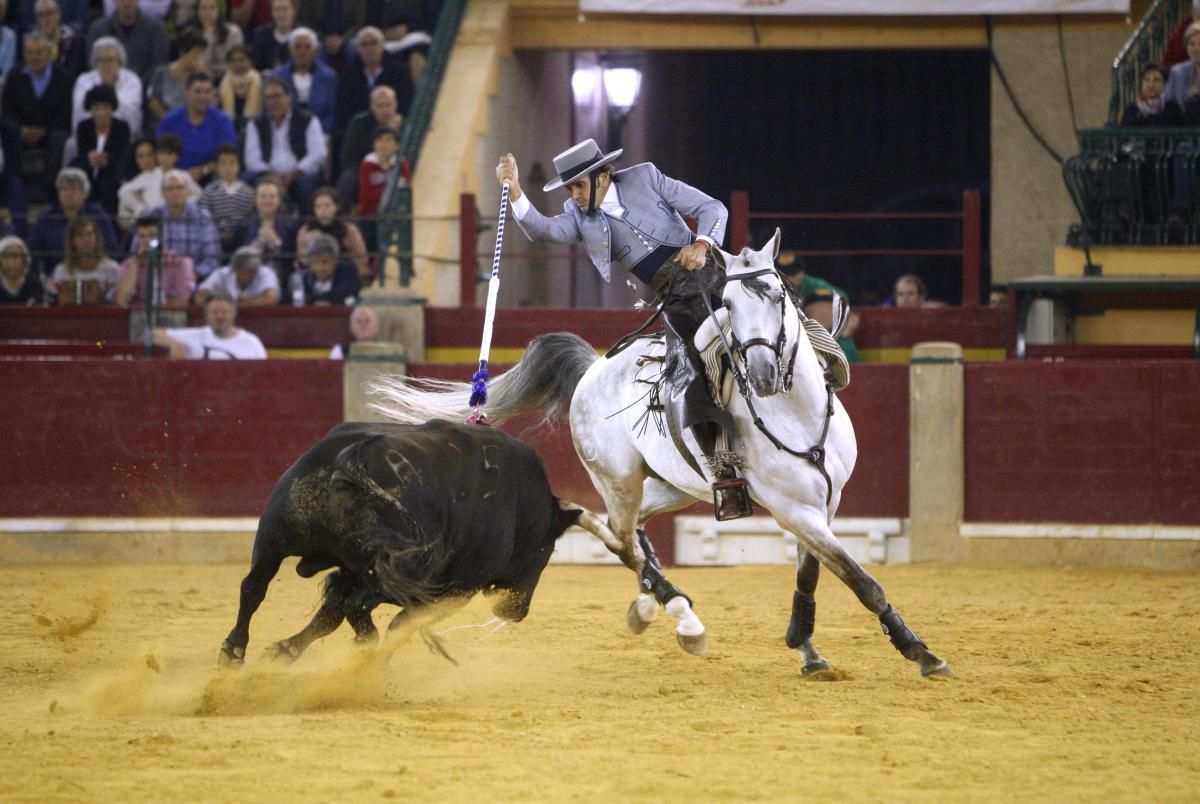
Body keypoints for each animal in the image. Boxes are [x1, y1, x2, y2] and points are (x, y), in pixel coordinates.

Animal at [224, 420, 585, 662]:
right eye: (546, 551)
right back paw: (366, 649)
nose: (517, 611)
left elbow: (330, 613)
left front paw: (284, 650)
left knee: (253, 586)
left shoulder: (351, 572)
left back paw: (233, 650)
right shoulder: (454, 591)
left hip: (275, 535)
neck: (523, 505)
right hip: (398, 569)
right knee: (359, 607)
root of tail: (356, 457)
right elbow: (399, 625)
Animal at [369, 230, 950, 676]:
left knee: (634, 533)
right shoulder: (792, 509)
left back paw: (656, 603)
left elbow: (813, 573)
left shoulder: (825, 504)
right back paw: (676, 614)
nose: (762, 375)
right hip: (619, 480)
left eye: (778, 296)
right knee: (619, 536)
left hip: (676, 485)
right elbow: (862, 579)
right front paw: (920, 653)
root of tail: (594, 367)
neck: (797, 415)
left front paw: (807, 650)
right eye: (727, 306)